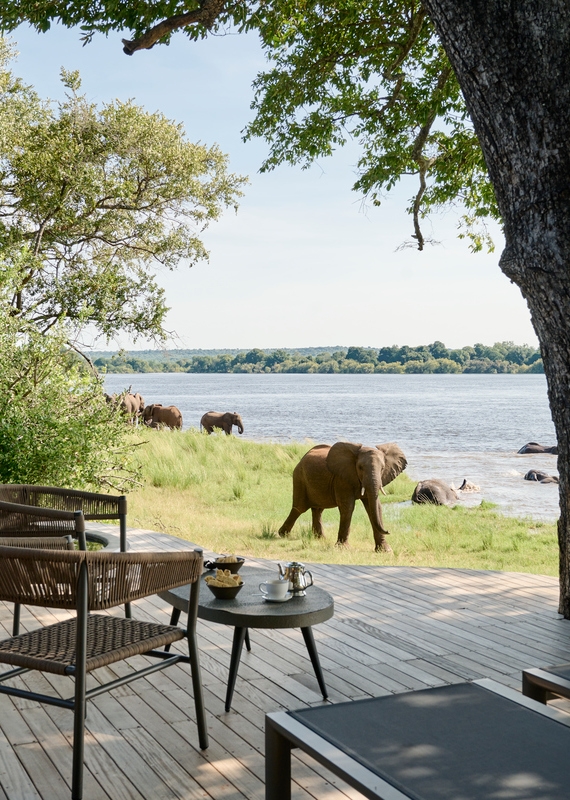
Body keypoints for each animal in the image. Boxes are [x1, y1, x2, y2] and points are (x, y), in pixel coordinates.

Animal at [278, 441, 407, 552]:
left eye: (382, 468)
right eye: (360, 467)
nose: (388, 531)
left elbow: (375, 508)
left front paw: (385, 551)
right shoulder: (342, 479)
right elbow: (348, 507)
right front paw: (343, 548)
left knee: (318, 510)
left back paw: (320, 538)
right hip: (299, 477)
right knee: (299, 508)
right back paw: (282, 534)